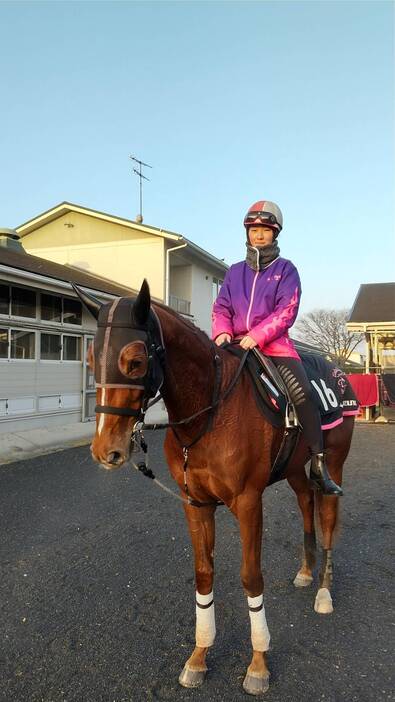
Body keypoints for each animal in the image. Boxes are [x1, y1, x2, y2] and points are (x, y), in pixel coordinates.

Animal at [74, 282, 356, 700]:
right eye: (92, 360)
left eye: (136, 361)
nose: (105, 449)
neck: (209, 413)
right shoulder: (196, 504)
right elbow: (204, 575)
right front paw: (199, 656)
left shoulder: (248, 502)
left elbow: (250, 577)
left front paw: (258, 664)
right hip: (292, 469)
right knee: (306, 500)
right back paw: (306, 571)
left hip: (333, 463)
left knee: (327, 516)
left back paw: (323, 591)